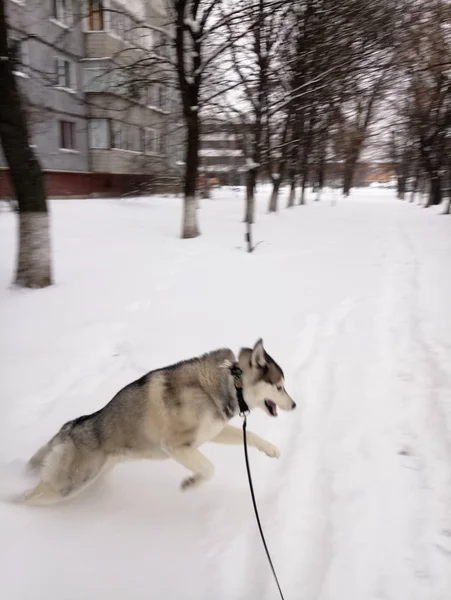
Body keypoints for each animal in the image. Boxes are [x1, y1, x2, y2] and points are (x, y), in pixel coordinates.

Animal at [26, 340, 298, 504]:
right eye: (280, 387)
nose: (295, 405)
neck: (232, 384)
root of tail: (71, 426)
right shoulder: (175, 446)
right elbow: (209, 469)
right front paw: (190, 483)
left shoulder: (211, 432)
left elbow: (250, 436)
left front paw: (271, 449)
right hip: (70, 484)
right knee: (31, 496)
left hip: (88, 478)